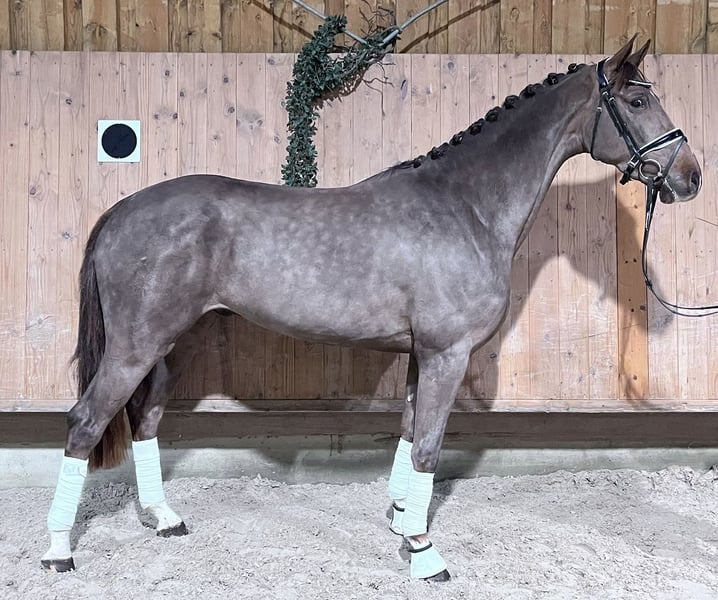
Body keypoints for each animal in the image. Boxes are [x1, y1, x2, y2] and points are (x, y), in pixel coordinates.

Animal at [41, 37, 701, 581]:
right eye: (638, 100)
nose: (690, 178)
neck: (465, 206)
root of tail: (123, 209)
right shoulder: (446, 354)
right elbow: (430, 444)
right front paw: (426, 554)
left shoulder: (421, 354)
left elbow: (409, 432)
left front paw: (403, 522)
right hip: (135, 347)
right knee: (86, 422)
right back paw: (58, 551)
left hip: (167, 346)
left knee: (145, 417)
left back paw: (164, 518)